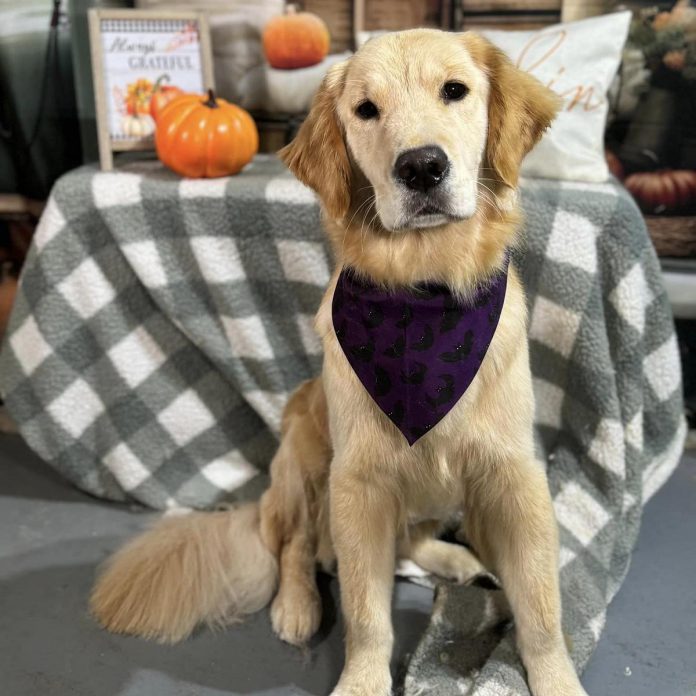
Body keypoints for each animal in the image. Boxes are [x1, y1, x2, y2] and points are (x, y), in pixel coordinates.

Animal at [89, 29, 588, 696]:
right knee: (296, 547)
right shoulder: (357, 484)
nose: (421, 166)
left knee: (411, 540)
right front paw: (361, 680)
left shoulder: (516, 477)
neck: (424, 289)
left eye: (455, 90)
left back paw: (454, 558)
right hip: (303, 455)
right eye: (366, 110)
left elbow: (539, 605)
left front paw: (556, 677)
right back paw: (296, 604)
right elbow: (367, 611)